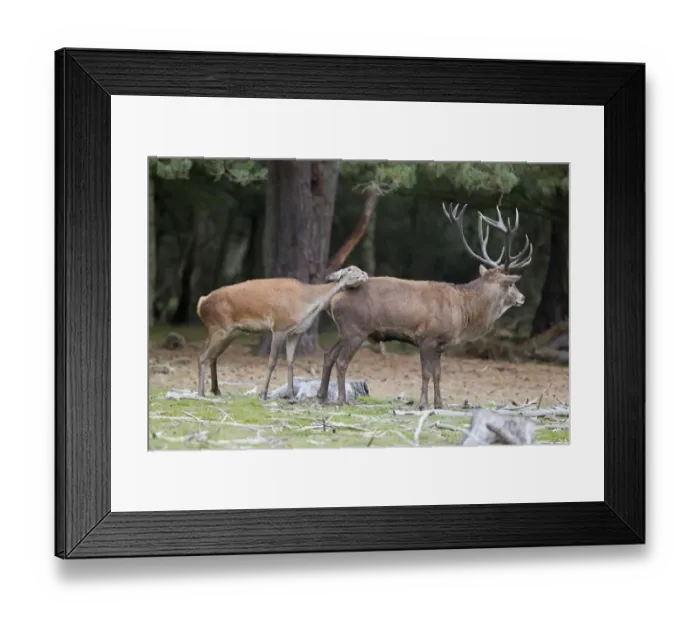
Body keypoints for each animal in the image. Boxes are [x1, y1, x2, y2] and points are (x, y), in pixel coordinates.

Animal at [195, 265, 368, 400]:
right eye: (350, 269)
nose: (365, 274)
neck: (306, 305)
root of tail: (201, 303)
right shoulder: (279, 327)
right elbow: (272, 362)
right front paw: (264, 394)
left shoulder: (295, 333)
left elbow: (290, 362)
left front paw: (291, 395)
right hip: (220, 328)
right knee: (203, 357)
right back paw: (201, 393)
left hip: (230, 332)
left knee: (212, 357)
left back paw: (216, 390)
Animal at [316, 201, 534, 410]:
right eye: (511, 284)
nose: (522, 298)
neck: (464, 312)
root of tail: (333, 299)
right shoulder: (427, 338)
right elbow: (426, 373)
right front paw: (422, 404)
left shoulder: (440, 345)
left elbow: (438, 373)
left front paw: (439, 403)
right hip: (356, 329)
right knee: (341, 361)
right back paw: (341, 400)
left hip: (345, 330)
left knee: (328, 355)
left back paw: (322, 397)